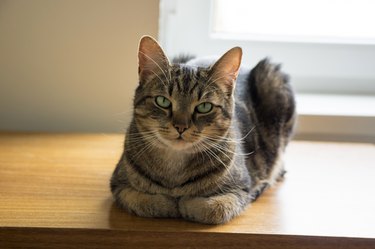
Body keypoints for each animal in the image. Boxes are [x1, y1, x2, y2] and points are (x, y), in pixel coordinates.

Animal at [110, 35, 298, 224]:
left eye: (204, 107)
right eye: (162, 101)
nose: (181, 126)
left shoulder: (240, 189)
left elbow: (212, 208)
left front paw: (185, 204)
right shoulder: (119, 184)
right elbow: (144, 200)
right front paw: (167, 203)